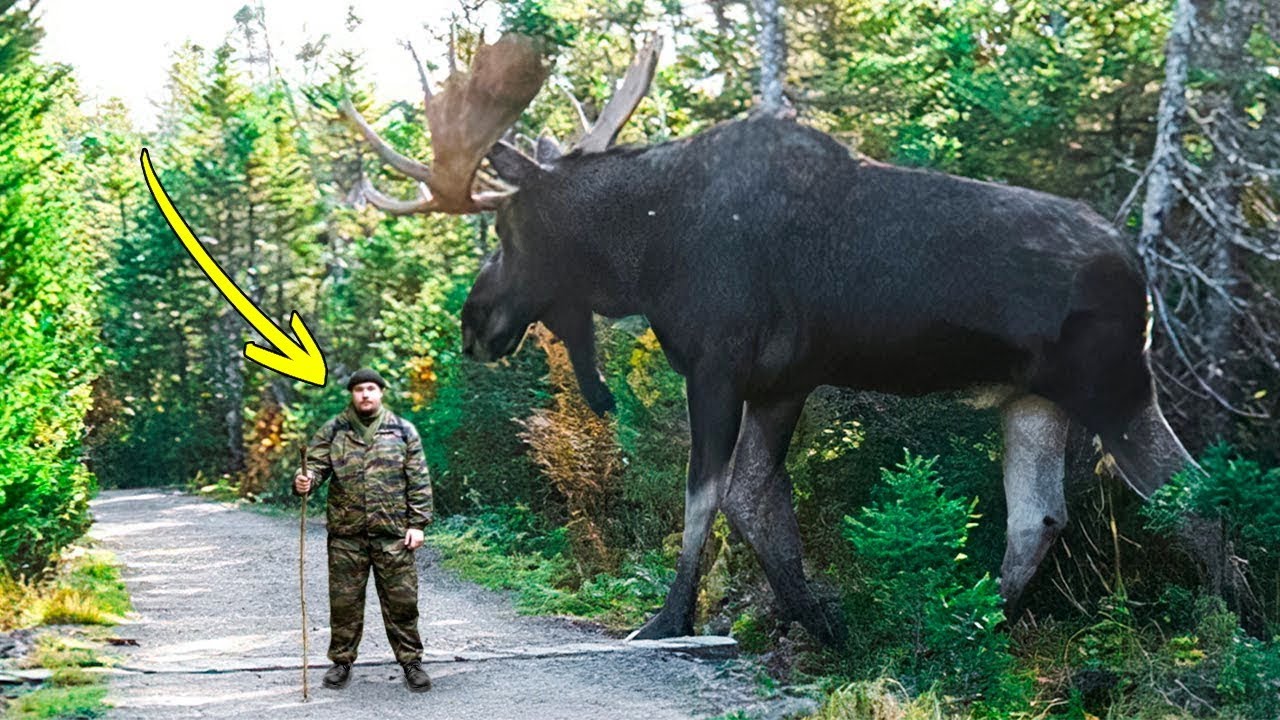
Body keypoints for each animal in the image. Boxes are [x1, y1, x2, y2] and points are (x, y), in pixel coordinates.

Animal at [343, 33, 1208, 640]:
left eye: (506, 228)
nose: (474, 322)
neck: (646, 250)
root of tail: (1141, 268)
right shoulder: (784, 380)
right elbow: (757, 501)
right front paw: (817, 617)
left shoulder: (718, 364)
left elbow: (706, 498)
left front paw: (672, 618)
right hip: (1031, 399)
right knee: (1041, 518)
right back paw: (970, 628)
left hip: (1113, 387)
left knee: (1195, 498)